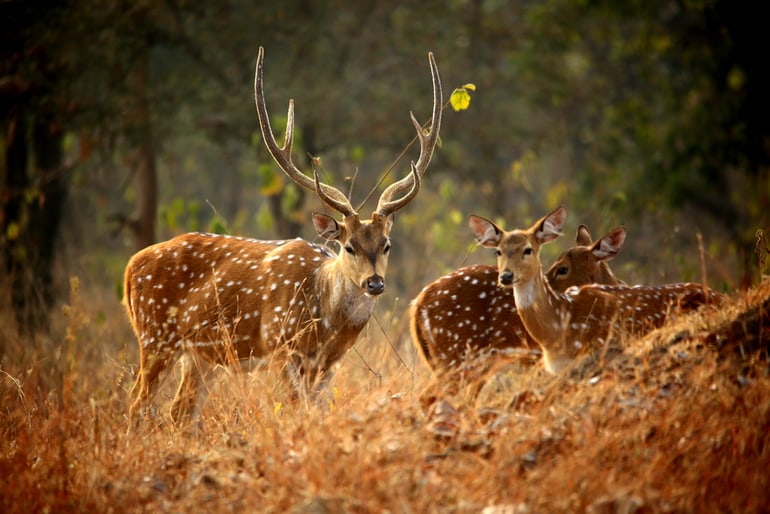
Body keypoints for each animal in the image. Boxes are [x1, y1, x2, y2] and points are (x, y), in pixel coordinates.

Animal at [124, 46, 442, 425]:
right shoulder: (279, 346)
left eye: (386, 245)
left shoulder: (328, 365)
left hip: (200, 354)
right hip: (154, 335)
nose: (375, 283)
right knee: (137, 401)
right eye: (348, 246)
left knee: (178, 410)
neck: (326, 324)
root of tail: (131, 267)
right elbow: (294, 410)